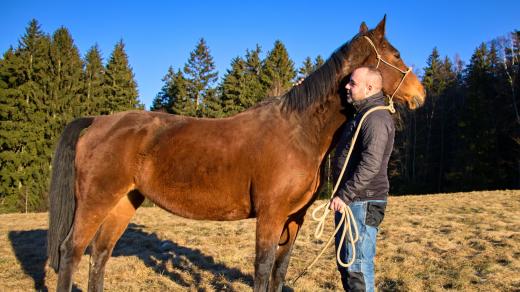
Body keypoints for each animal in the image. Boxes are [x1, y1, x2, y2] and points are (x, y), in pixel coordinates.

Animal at [47, 16, 422, 292]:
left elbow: (280, 271)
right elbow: (262, 269)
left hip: (124, 200)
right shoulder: (270, 216)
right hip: (96, 200)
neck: (298, 131)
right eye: (395, 55)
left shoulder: (295, 218)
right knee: (71, 251)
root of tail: (99, 120)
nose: (420, 93)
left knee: (100, 254)